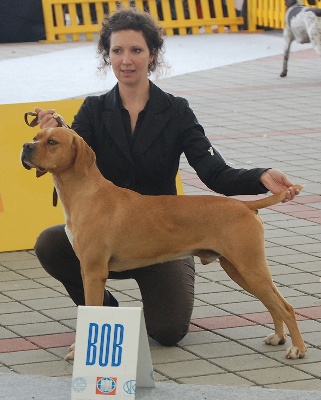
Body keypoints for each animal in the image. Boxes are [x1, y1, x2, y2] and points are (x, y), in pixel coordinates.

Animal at [21, 127, 306, 360]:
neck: (87, 194)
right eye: (36, 136)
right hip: (239, 270)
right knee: (273, 304)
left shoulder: (94, 271)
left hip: (250, 268)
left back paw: (297, 348)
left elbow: (91, 309)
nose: (25, 146)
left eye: (52, 142)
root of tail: (246, 206)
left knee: (286, 307)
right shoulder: (85, 270)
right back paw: (279, 337)